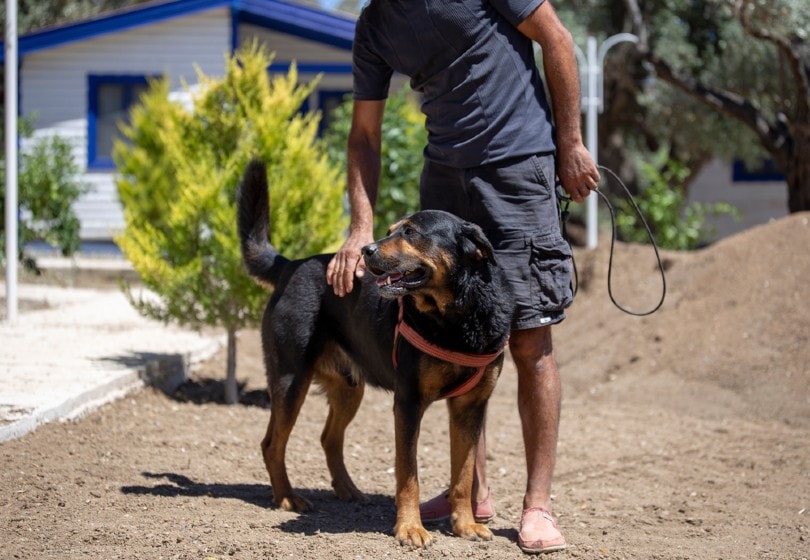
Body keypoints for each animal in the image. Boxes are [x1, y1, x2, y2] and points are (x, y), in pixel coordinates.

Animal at [237, 161, 512, 548]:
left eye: (410, 233)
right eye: (390, 230)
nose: (366, 250)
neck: (457, 315)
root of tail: (292, 266)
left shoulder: (470, 407)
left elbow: (463, 475)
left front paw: (465, 525)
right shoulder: (408, 403)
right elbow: (408, 474)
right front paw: (410, 528)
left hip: (349, 388)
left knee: (328, 438)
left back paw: (347, 490)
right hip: (291, 381)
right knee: (271, 443)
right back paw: (287, 497)